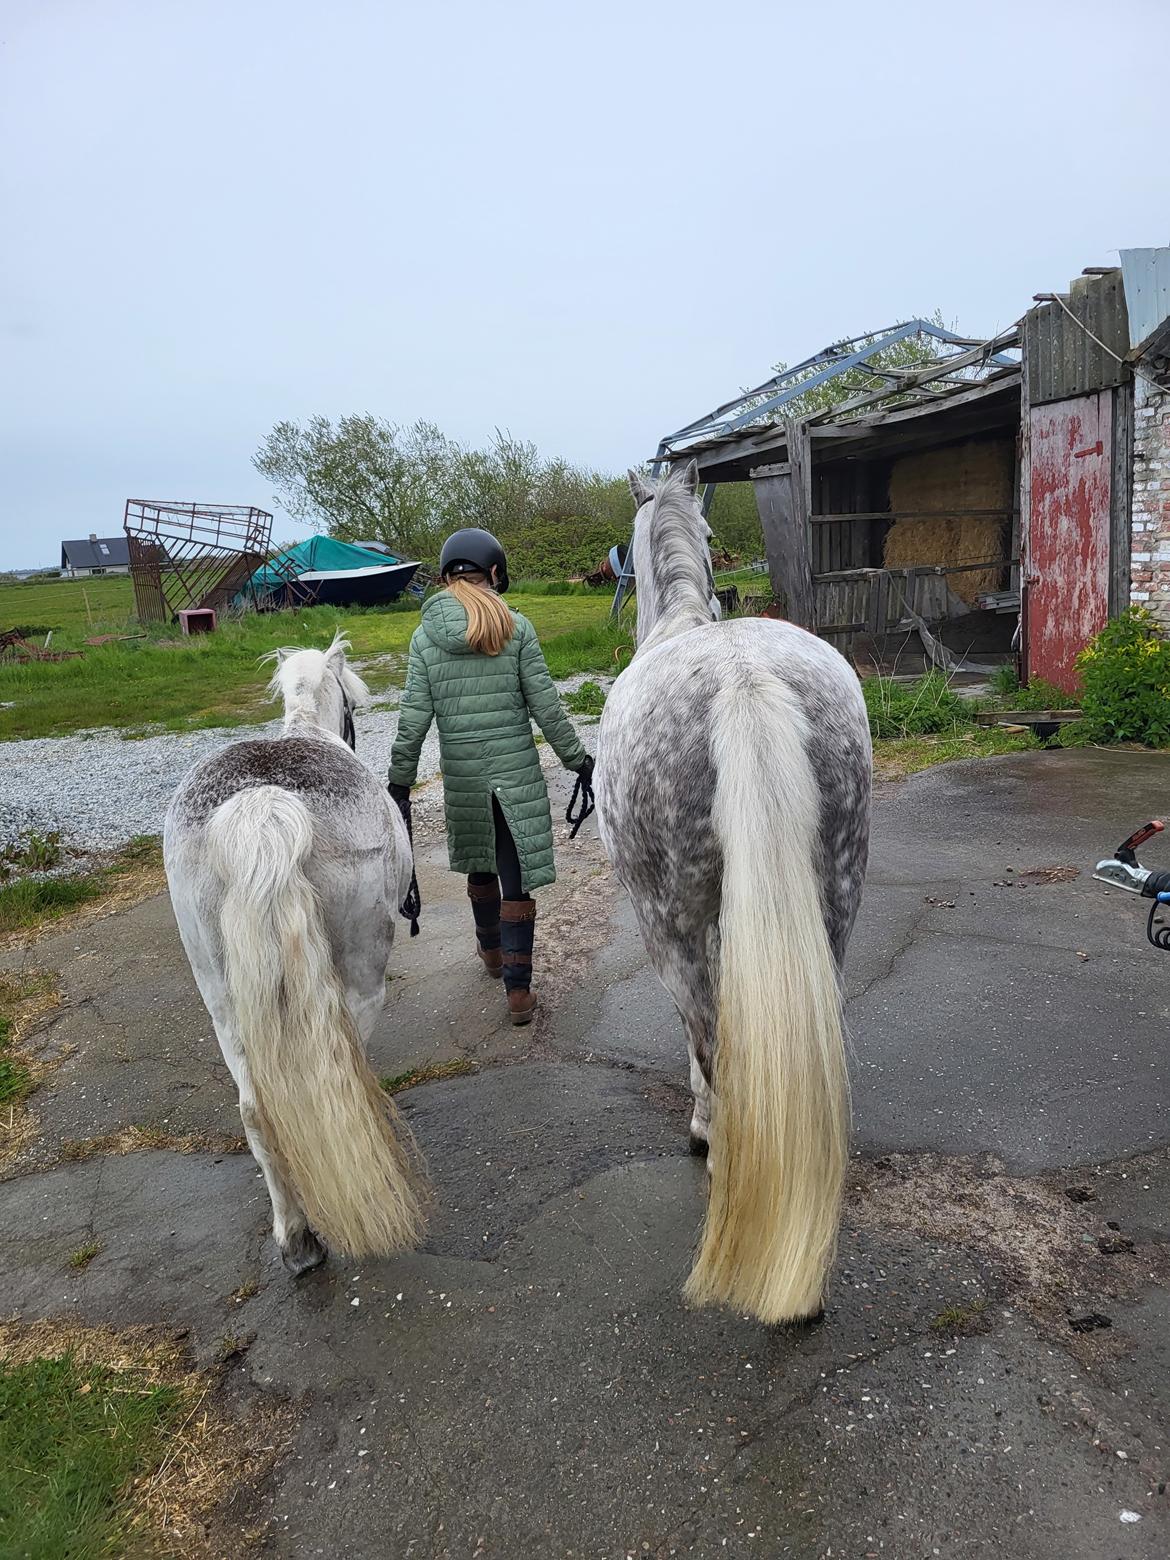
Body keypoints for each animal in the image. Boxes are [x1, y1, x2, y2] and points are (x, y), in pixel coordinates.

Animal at [163, 635, 426, 1275]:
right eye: (353, 703)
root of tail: (264, 806)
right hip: (359, 983)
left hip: (222, 1001)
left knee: (258, 1110)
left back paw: (295, 1236)